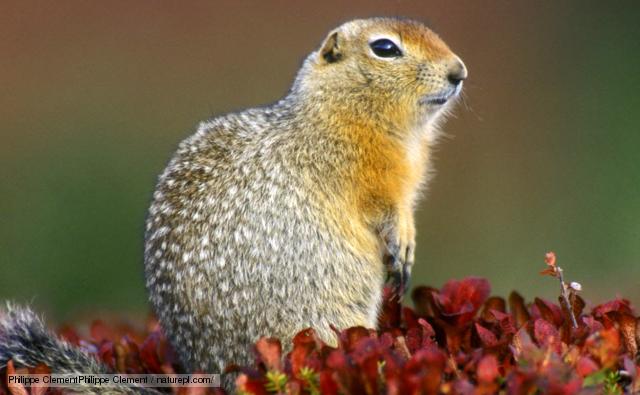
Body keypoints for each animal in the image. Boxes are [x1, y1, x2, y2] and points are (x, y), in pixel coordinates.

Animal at [0, 16, 464, 392]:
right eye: (385, 48)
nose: (459, 71)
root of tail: (211, 368)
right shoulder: (364, 175)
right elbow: (386, 210)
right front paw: (402, 246)